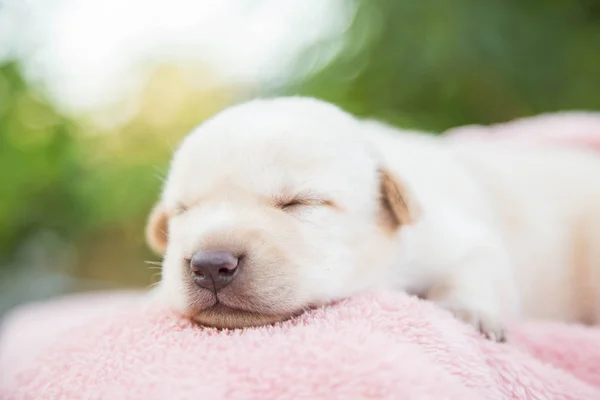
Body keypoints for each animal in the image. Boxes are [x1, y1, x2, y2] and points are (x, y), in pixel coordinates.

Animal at [145, 96, 600, 340]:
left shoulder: (455, 236)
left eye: (298, 202)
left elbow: (472, 268)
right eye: (183, 211)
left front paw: (465, 310)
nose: (209, 265)